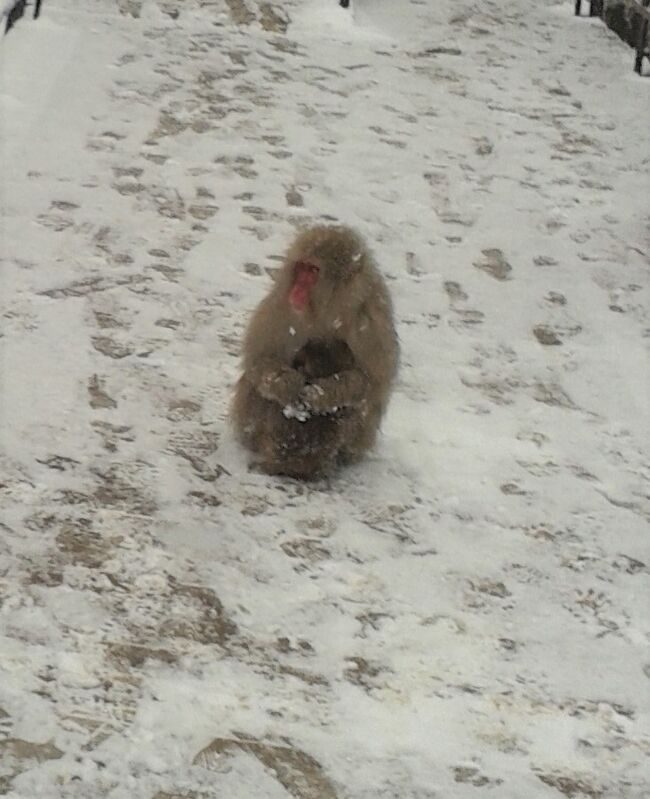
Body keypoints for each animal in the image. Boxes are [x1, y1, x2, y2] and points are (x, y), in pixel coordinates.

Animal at [230, 222, 398, 478]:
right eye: (301, 268)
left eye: (313, 271)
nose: (297, 288)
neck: (328, 306)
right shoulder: (281, 304)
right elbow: (259, 359)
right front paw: (287, 383)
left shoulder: (371, 317)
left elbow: (372, 382)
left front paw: (322, 394)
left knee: (353, 407)